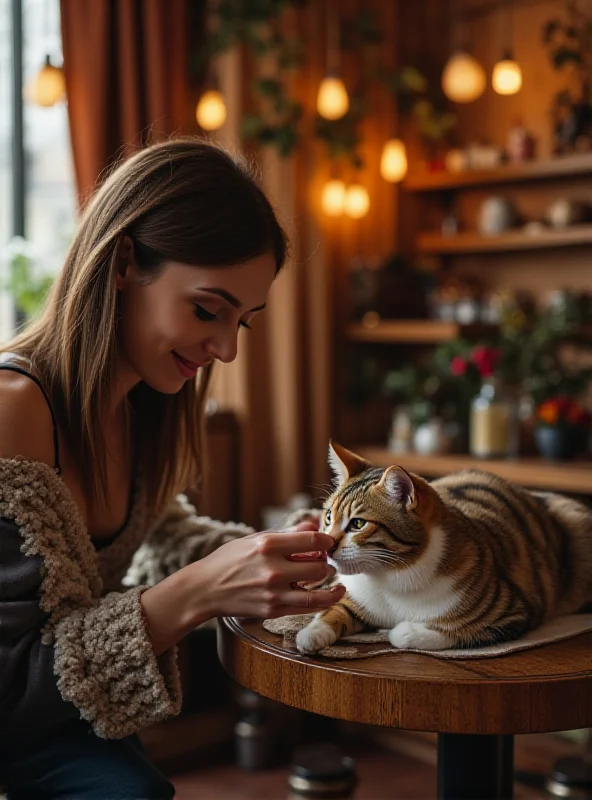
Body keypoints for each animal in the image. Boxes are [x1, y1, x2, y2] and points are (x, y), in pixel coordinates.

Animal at [294, 440, 592, 652]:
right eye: (328, 517)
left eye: (357, 524)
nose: (328, 546)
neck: (390, 577)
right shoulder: (355, 596)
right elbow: (334, 610)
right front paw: (311, 633)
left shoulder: (510, 614)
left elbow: (429, 633)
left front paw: (397, 631)